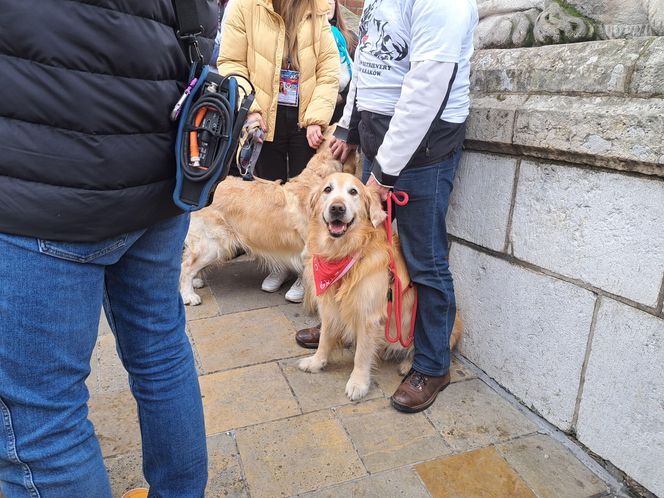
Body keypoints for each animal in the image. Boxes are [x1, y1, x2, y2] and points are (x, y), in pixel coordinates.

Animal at [296, 173, 460, 398]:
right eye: (327, 190)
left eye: (353, 192)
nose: (337, 208)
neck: (343, 253)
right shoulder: (329, 307)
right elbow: (324, 338)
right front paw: (316, 362)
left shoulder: (368, 316)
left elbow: (361, 355)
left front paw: (358, 383)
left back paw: (410, 366)